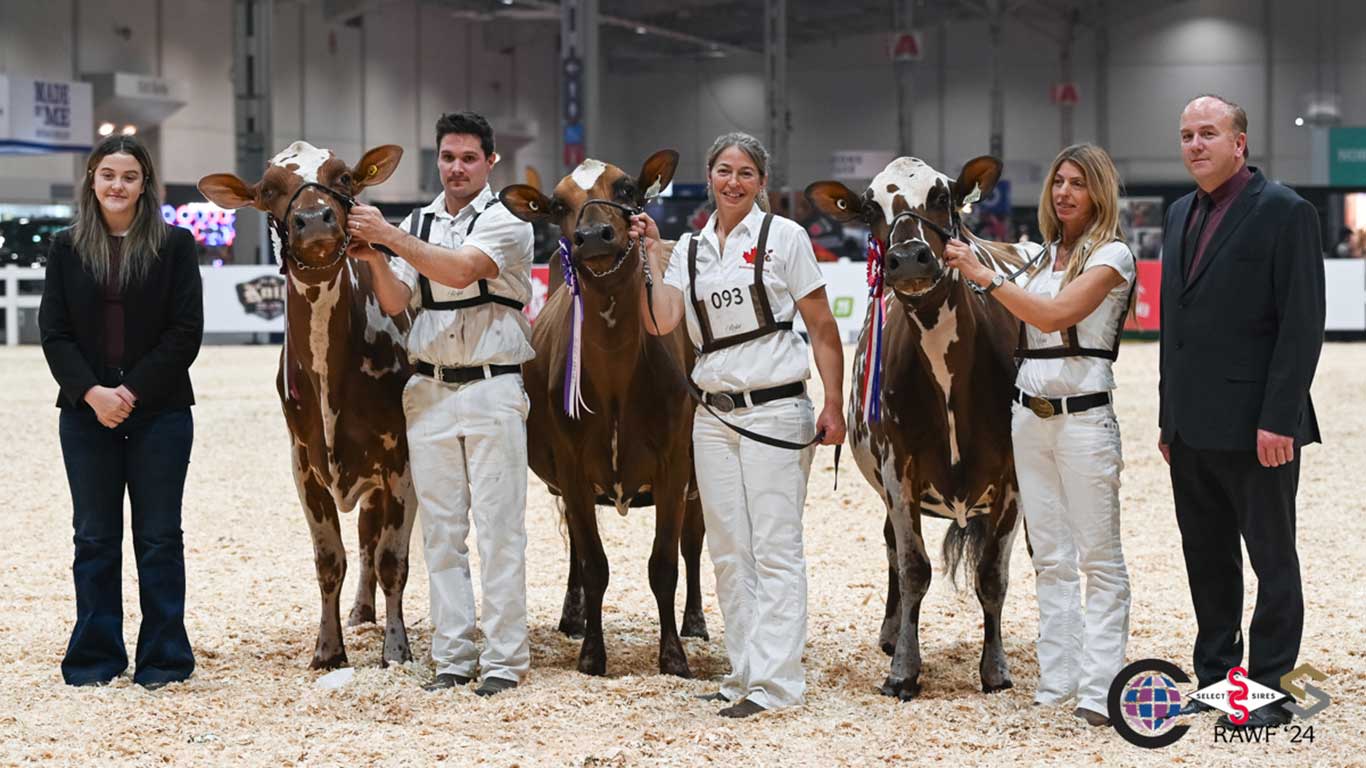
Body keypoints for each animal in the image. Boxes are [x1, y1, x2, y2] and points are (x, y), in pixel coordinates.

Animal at [195, 140, 412, 666]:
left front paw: (396, 650)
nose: (313, 219)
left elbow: (394, 559)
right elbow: (330, 559)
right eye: (268, 189)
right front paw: (329, 650)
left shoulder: (402, 460)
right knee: (365, 536)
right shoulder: (304, 463)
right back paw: (360, 612)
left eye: (345, 178)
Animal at [505, 151, 715, 675]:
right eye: (559, 204)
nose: (594, 236)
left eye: (625, 189)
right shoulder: (572, 470)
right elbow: (593, 563)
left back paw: (696, 621)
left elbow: (665, 565)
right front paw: (591, 654)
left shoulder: (674, 468)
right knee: (577, 553)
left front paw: (673, 656)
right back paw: (572, 617)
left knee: (694, 541)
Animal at [808, 153, 1027, 694]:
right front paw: (904, 669)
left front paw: (996, 669)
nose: (908, 258)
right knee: (891, 548)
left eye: (943, 196)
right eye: (869, 208)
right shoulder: (898, 468)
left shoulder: (1014, 478)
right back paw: (891, 634)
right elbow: (912, 569)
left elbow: (992, 575)